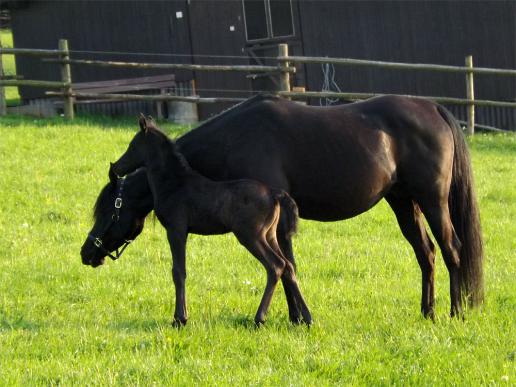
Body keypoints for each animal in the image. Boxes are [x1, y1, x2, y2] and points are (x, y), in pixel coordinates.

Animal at [111, 116, 310, 328]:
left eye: (133, 146)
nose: (116, 167)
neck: (174, 183)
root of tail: (273, 193)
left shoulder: (176, 230)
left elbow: (178, 271)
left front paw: (179, 319)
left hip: (251, 236)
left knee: (276, 266)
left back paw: (259, 318)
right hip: (269, 234)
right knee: (289, 266)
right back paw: (307, 318)